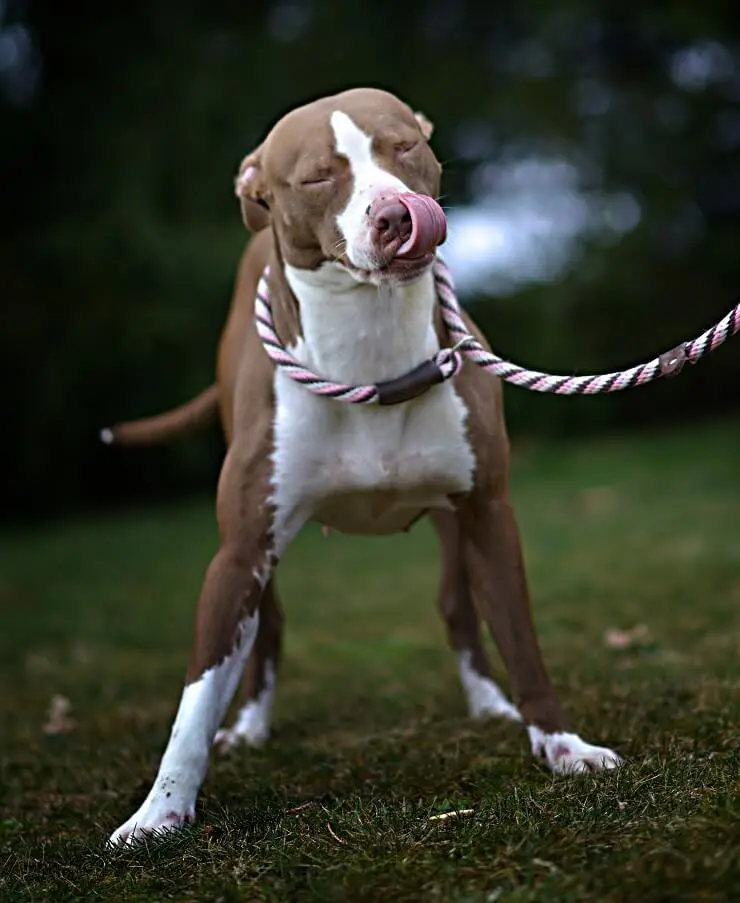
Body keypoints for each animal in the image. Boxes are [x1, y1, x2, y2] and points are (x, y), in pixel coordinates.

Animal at [104, 88, 620, 844]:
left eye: (402, 146)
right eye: (318, 177)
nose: (396, 213)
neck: (370, 353)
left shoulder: (489, 513)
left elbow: (522, 639)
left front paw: (561, 745)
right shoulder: (239, 551)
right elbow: (196, 695)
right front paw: (160, 811)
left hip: (451, 522)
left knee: (457, 605)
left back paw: (488, 702)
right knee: (268, 629)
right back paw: (250, 726)